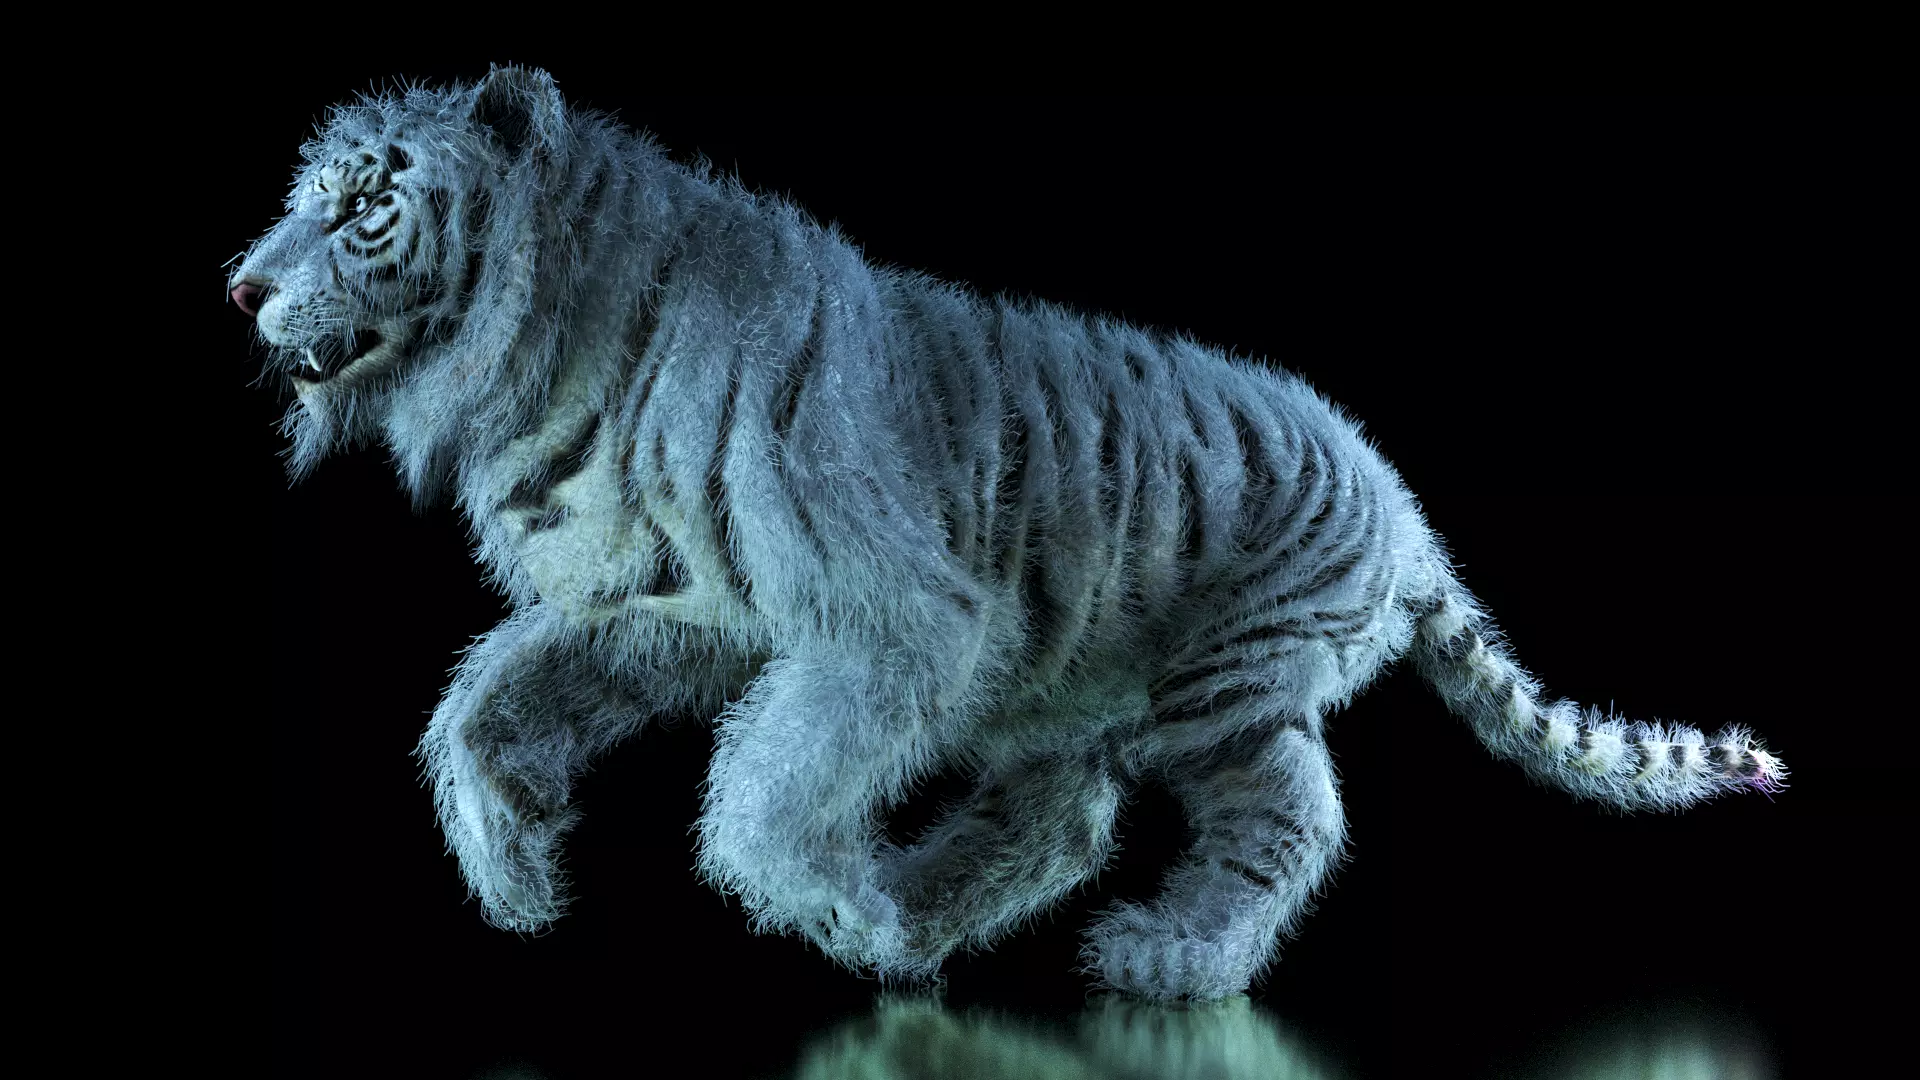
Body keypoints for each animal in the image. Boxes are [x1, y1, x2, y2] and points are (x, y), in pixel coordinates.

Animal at [231, 67, 1787, 1002]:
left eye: (363, 205)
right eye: (304, 200)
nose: (240, 284)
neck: (554, 350)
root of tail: (1401, 505)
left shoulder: (896, 622)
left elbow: (766, 787)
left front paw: (834, 910)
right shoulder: (668, 605)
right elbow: (489, 696)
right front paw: (513, 868)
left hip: (1225, 689)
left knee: (1284, 817)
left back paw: (1159, 958)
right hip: (1072, 687)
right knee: (1067, 815)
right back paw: (931, 913)